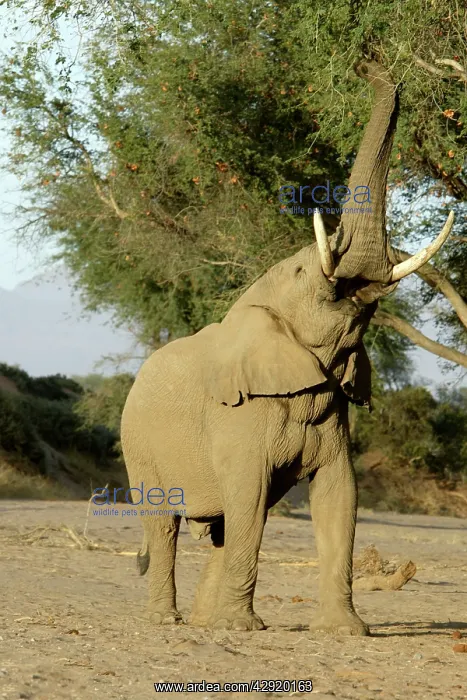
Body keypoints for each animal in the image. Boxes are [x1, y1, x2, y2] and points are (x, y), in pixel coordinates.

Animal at [120, 61, 453, 634]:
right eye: (302, 272)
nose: (373, 68)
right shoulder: (239, 415)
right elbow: (251, 498)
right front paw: (242, 628)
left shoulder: (335, 412)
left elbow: (339, 497)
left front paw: (347, 631)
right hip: (138, 447)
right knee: (164, 526)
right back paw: (171, 621)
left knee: (220, 527)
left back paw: (206, 622)